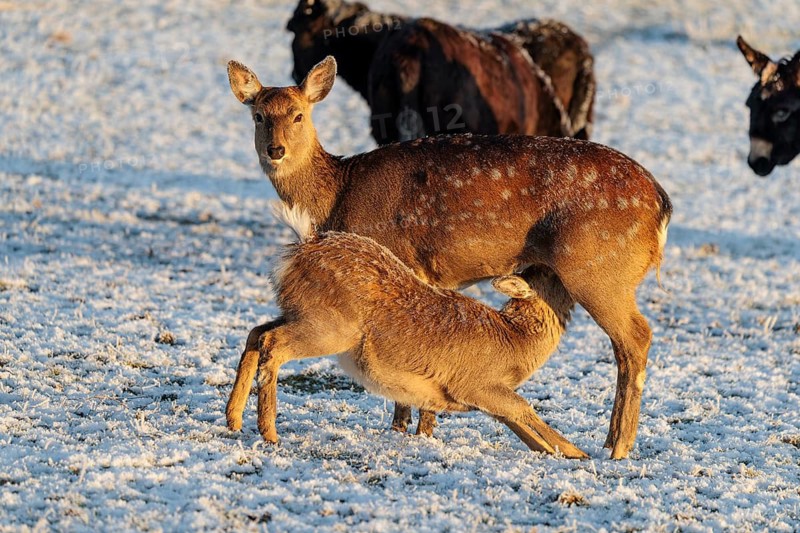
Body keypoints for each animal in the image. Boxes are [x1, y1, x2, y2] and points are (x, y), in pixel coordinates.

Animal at [230, 201, 588, 458]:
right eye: (549, 274)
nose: (573, 272)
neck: (516, 342)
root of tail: (301, 245)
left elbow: (517, 422)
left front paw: (559, 452)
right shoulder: (474, 383)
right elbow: (524, 408)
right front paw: (577, 453)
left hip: (299, 312)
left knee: (256, 332)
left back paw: (233, 419)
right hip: (330, 327)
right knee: (273, 342)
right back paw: (269, 433)